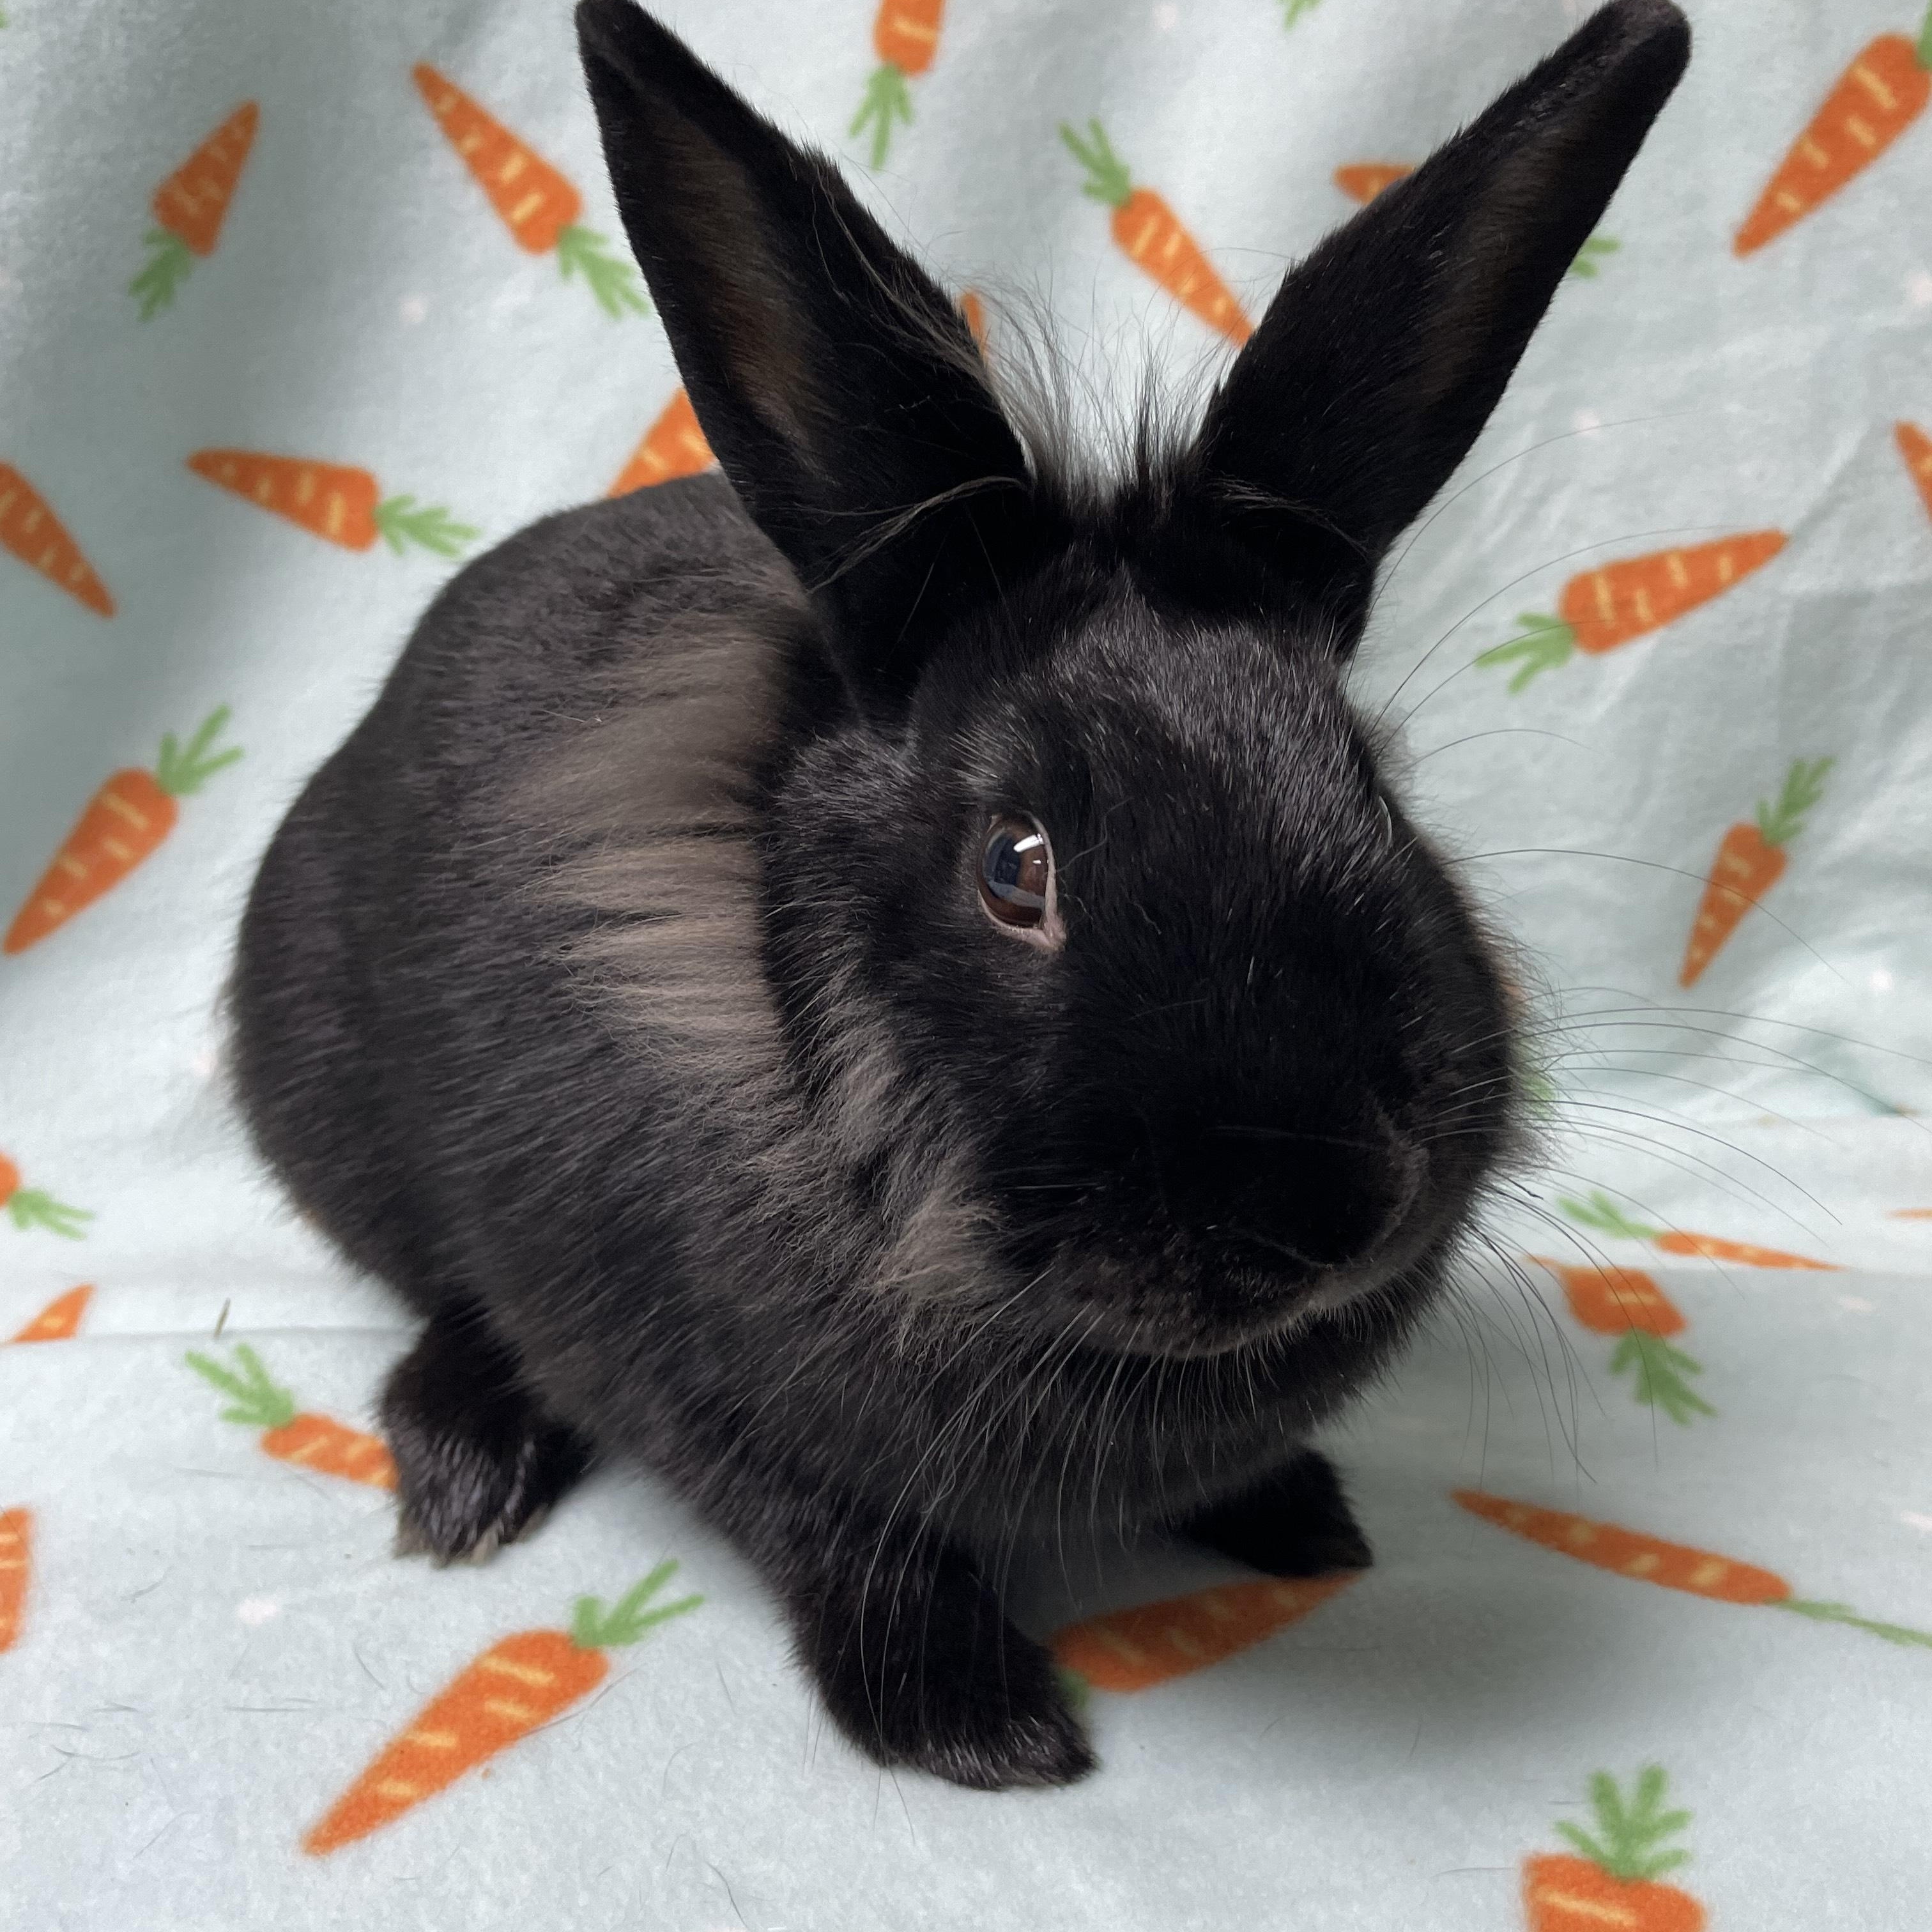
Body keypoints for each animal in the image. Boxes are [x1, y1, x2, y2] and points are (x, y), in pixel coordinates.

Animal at [228, 0, 1689, 1790]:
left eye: (1371, 781)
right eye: (1014, 865)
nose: (1326, 1210)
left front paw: (1304, 1520)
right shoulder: (703, 1397)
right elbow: (847, 1534)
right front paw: (978, 1728)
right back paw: (461, 1476)